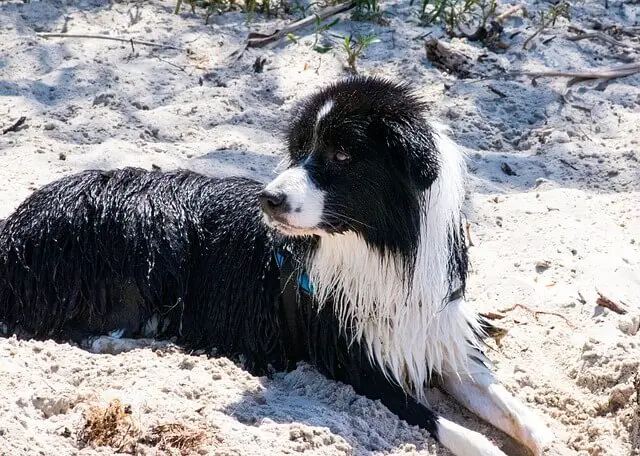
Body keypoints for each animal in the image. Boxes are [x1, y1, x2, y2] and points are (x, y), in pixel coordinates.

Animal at [0, 77, 552, 456]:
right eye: (301, 148)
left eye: (342, 154)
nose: (268, 198)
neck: (381, 251)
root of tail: (18, 225)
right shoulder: (353, 362)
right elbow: (441, 422)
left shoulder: (435, 335)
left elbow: (508, 406)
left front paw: (542, 434)